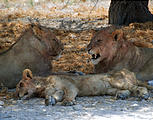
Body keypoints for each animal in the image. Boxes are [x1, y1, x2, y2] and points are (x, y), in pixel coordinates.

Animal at [15, 68, 153, 106]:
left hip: (117, 80)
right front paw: (50, 100)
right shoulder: (58, 91)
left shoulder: (70, 86)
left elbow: (69, 95)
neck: (44, 85)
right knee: (128, 91)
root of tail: (130, 72)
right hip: (110, 88)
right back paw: (121, 95)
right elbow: (54, 95)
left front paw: (68, 102)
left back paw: (144, 94)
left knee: (136, 87)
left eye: (21, 84)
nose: (17, 96)